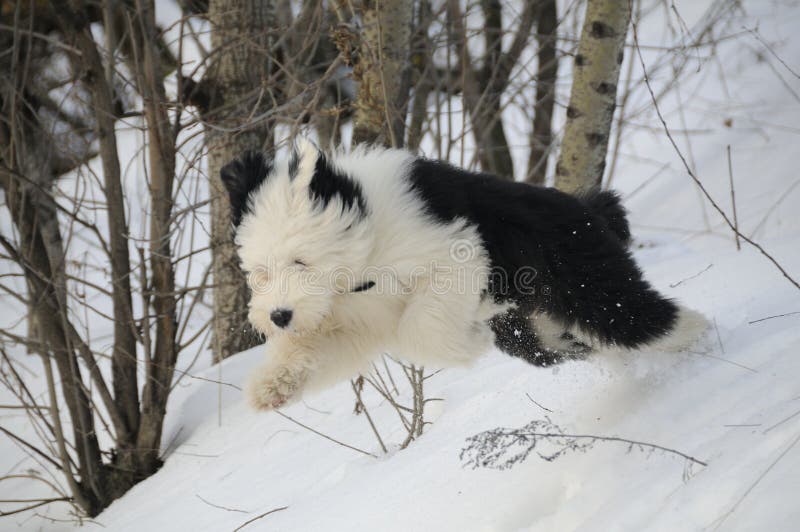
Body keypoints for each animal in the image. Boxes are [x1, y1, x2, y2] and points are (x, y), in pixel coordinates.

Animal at [219, 139, 708, 410]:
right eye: (260, 271)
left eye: (300, 261)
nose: (278, 316)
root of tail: (589, 208)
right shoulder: (356, 319)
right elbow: (316, 349)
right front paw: (270, 387)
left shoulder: (455, 253)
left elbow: (423, 327)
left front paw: (466, 343)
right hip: (535, 334)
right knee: (583, 342)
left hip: (590, 286)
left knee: (646, 319)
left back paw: (703, 351)